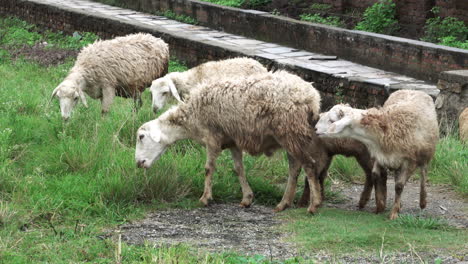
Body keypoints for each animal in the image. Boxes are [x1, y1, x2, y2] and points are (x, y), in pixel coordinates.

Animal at [135, 70, 326, 214]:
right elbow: (238, 169)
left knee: (309, 165)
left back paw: (313, 205)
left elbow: (208, 168)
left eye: (141, 137)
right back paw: (283, 203)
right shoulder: (233, 140)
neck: (191, 118)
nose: (138, 163)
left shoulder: (212, 137)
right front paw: (247, 198)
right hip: (290, 136)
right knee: (294, 169)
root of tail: (313, 97)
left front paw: (205, 198)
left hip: (292, 131)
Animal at [314, 89, 438, 220]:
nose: (315, 129)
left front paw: (393, 213)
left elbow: (399, 186)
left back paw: (422, 201)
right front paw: (380, 206)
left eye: (331, 121)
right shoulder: (380, 156)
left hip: (425, 152)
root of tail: (413, 90)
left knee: (423, 172)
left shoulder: (409, 161)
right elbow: (375, 175)